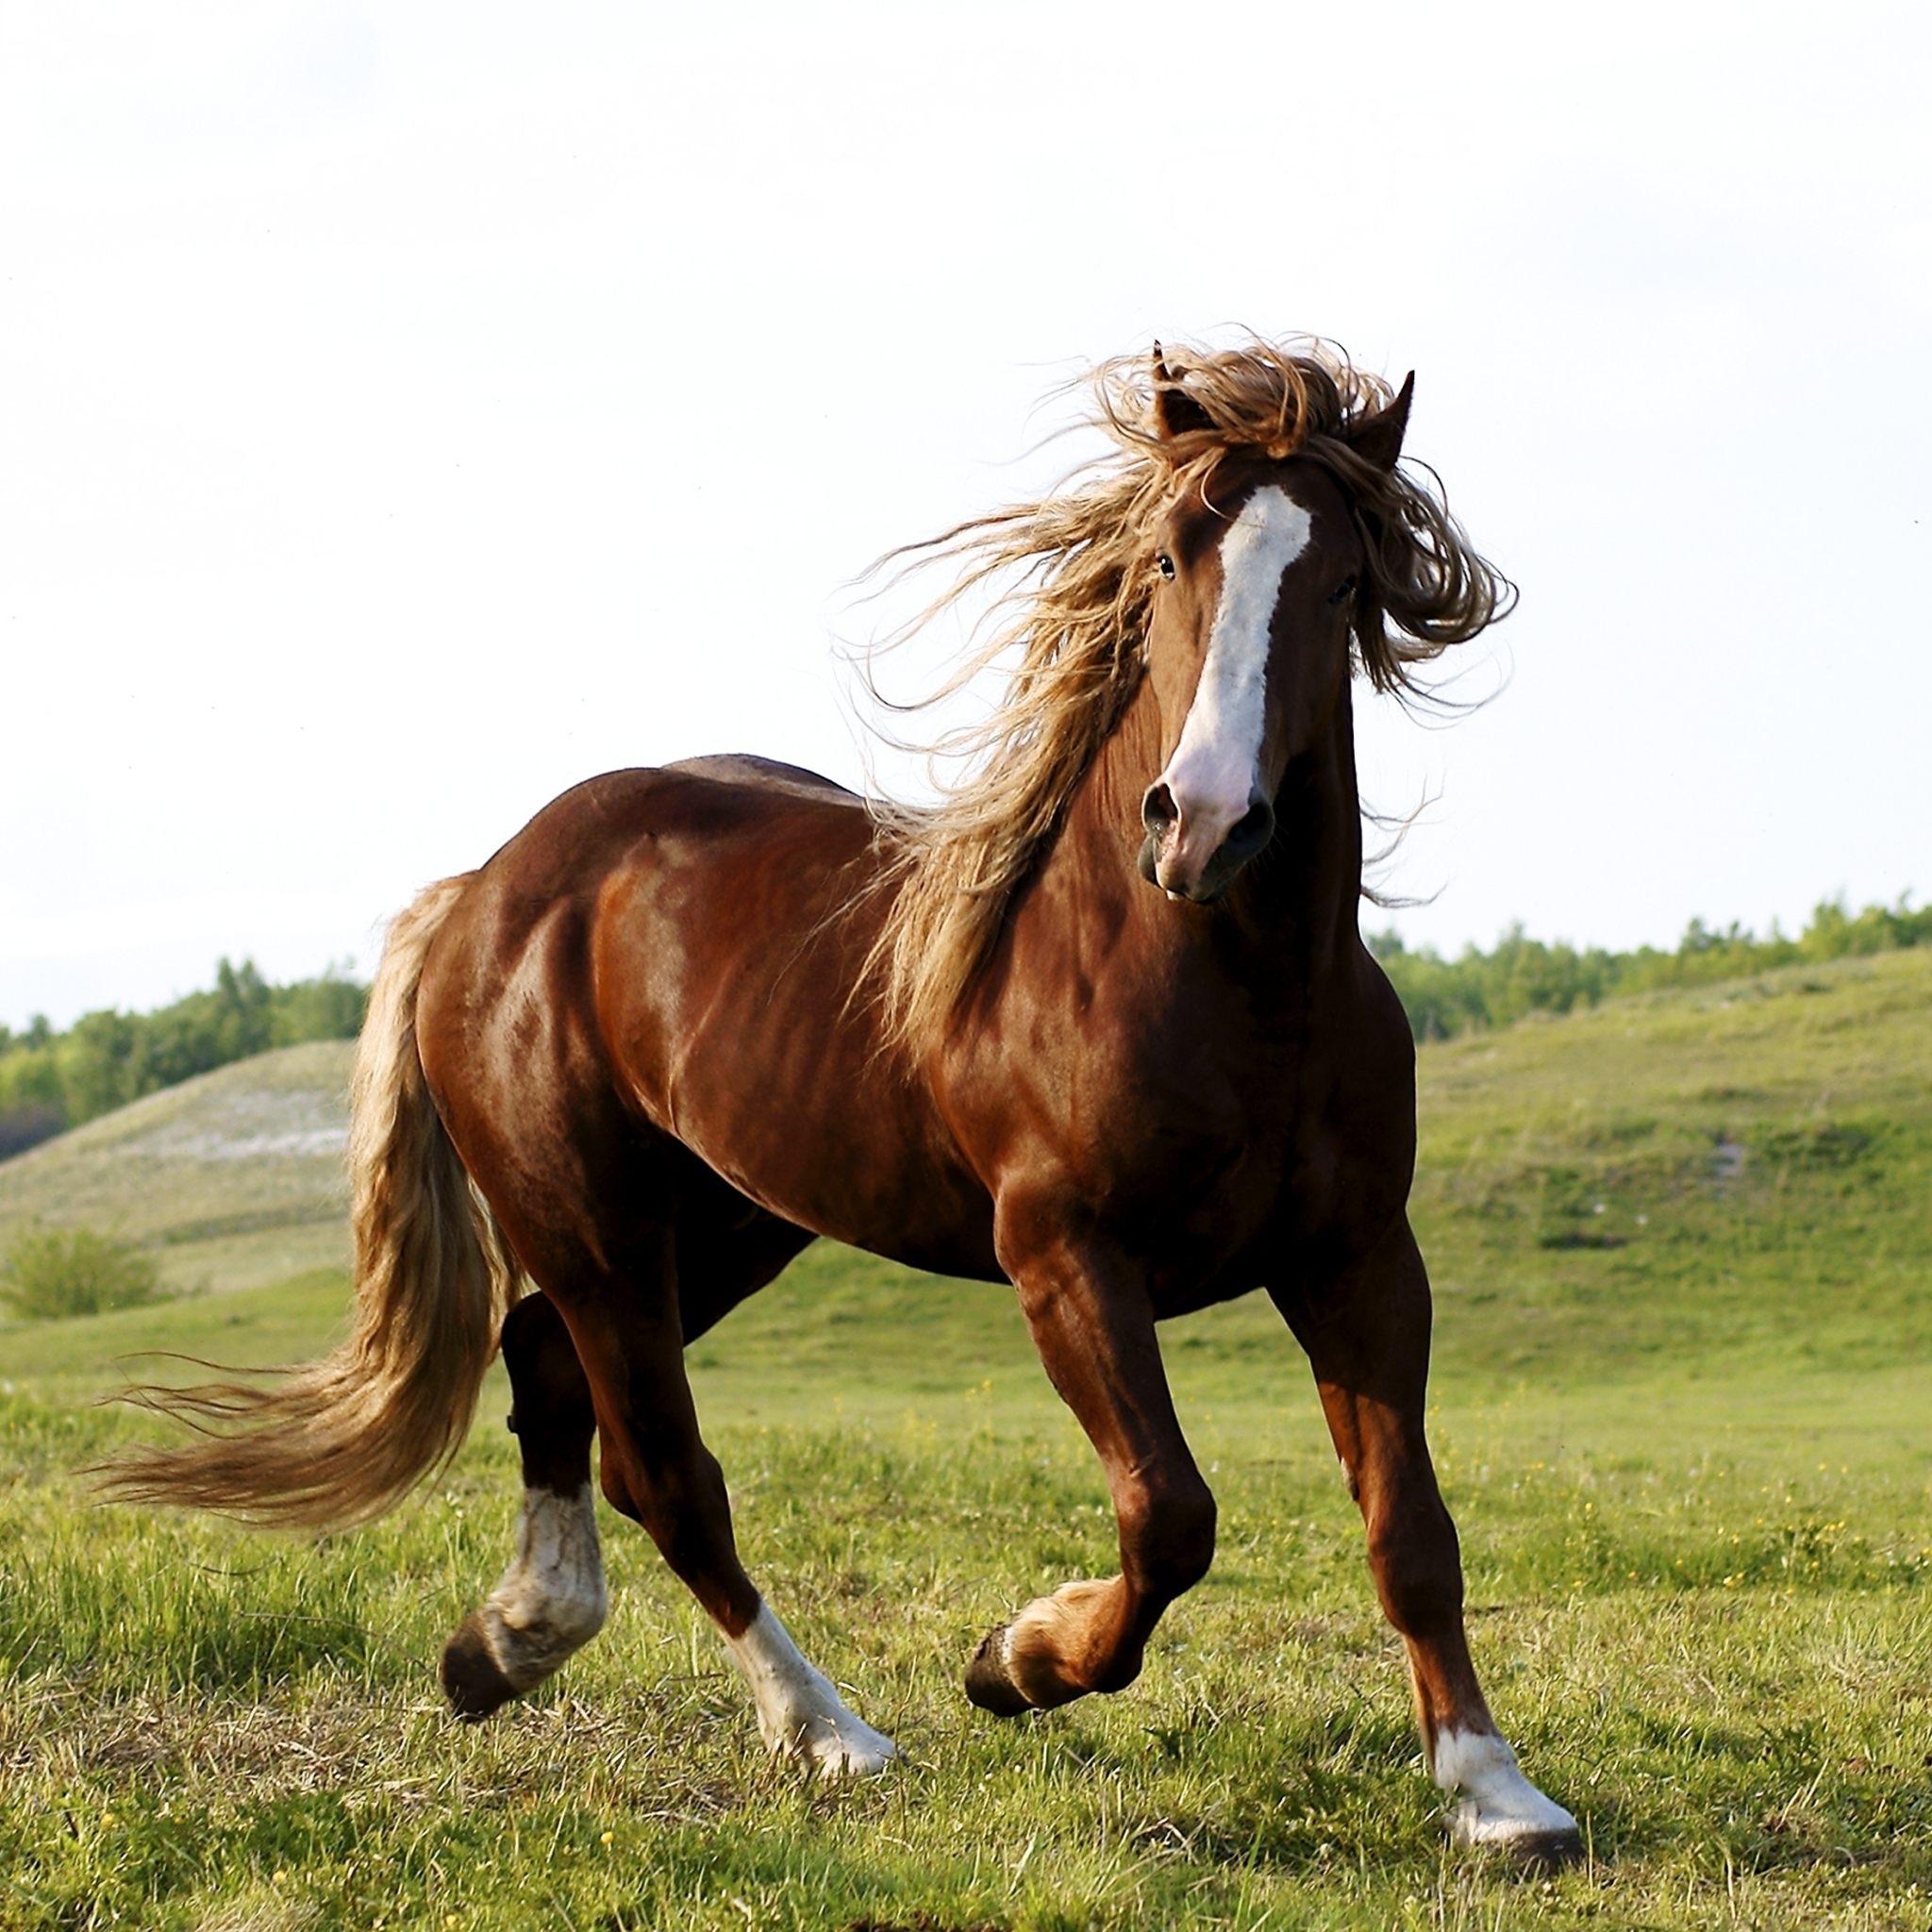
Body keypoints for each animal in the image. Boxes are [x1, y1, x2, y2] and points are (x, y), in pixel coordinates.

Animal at [106, 336, 1576, 1855]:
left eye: (1341, 579)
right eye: (1171, 556)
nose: (1206, 823)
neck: (1221, 978)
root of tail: (487, 888)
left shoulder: (1358, 1258)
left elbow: (1411, 1530)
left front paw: (1496, 1791)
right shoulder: (1064, 1253)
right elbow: (1169, 1514)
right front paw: (1016, 1660)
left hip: (724, 1225)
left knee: (548, 1370)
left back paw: (506, 1642)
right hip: (596, 1228)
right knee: (666, 1472)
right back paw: (829, 1733)